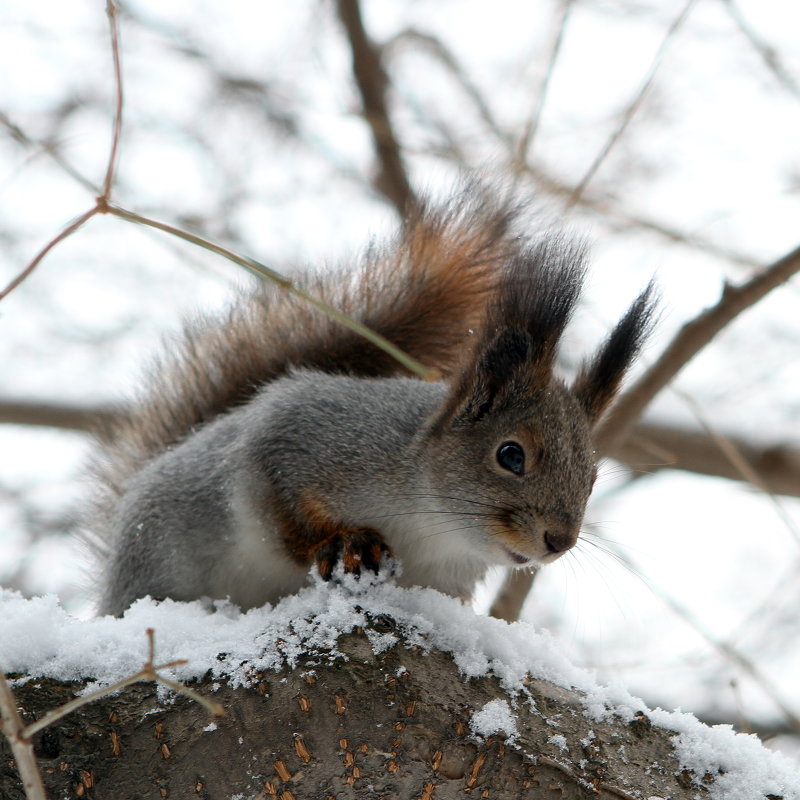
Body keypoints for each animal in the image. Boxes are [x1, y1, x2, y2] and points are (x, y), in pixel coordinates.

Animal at [92, 188, 656, 620]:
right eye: (510, 455)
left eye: (592, 479)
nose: (559, 540)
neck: (432, 526)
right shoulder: (296, 438)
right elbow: (281, 511)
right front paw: (341, 544)